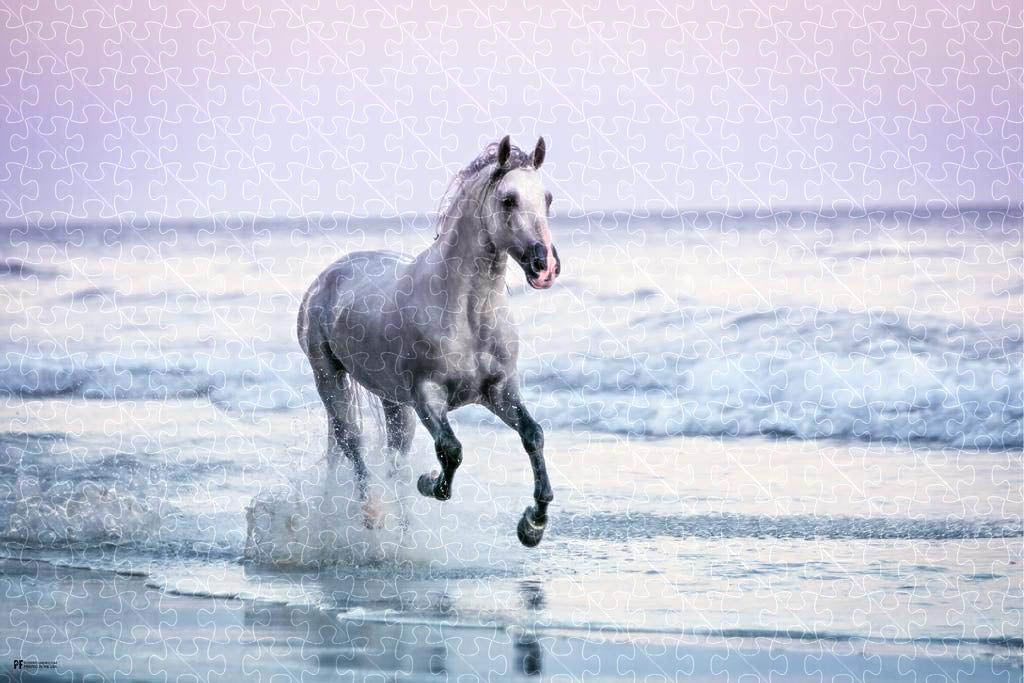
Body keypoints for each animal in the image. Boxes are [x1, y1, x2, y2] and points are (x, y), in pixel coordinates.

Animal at [297, 136, 561, 547]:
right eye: (508, 199)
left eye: (546, 198)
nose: (544, 266)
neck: (467, 313)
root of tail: (326, 278)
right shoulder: (427, 395)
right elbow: (451, 451)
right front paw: (430, 483)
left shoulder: (499, 390)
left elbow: (533, 434)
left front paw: (532, 525)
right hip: (329, 378)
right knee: (352, 444)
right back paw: (372, 515)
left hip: (391, 400)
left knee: (393, 461)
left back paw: (405, 535)